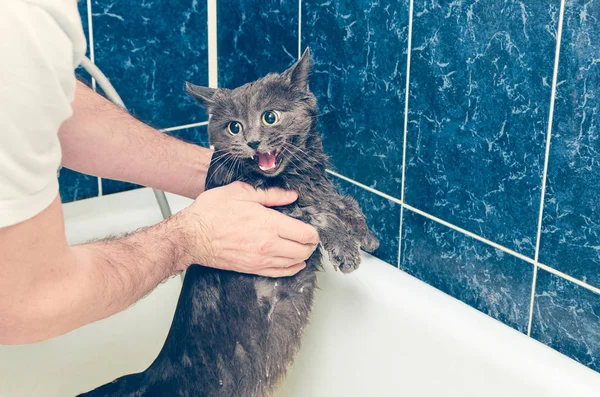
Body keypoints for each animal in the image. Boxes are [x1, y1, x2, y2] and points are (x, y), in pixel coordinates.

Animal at [79, 49, 380, 396]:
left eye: (270, 117)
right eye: (234, 127)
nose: (252, 142)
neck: (295, 176)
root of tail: (149, 375)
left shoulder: (317, 188)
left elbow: (340, 200)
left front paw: (364, 233)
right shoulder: (272, 212)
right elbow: (318, 213)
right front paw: (346, 250)